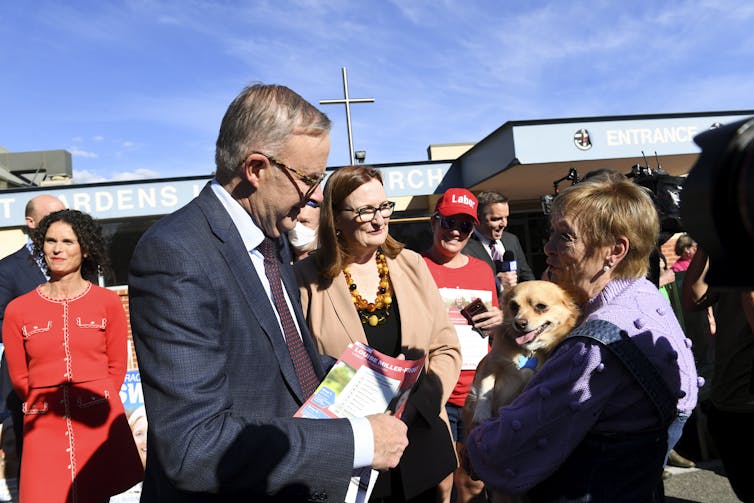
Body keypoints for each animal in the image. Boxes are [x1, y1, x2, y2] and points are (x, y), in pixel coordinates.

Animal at [462, 282, 580, 502]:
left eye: (541, 307)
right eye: (514, 306)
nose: (519, 323)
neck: (528, 351)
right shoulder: (490, 365)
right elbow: (485, 391)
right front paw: (482, 416)